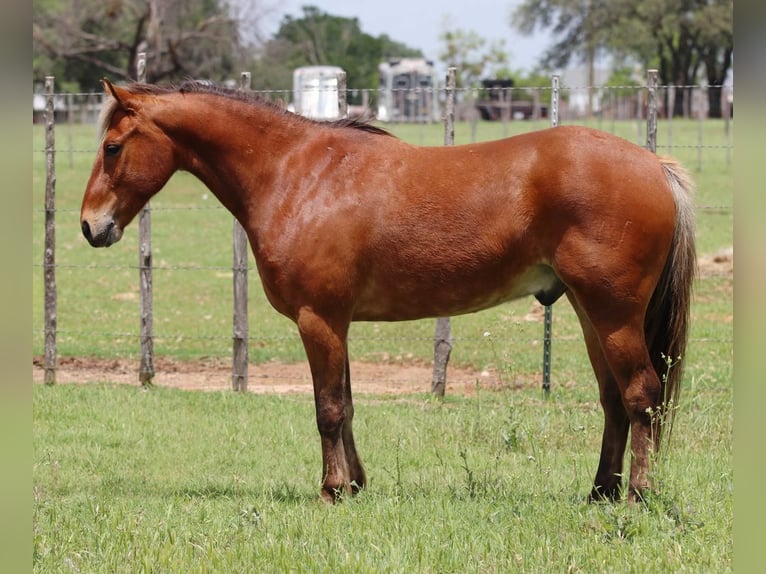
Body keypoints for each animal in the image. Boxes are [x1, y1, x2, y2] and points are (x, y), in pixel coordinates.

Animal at [80, 79, 696, 503]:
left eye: (112, 147)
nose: (90, 226)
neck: (296, 173)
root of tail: (654, 165)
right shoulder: (338, 321)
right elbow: (348, 404)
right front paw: (355, 485)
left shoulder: (318, 318)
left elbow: (328, 408)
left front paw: (331, 491)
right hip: (593, 314)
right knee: (614, 401)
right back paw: (600, 493)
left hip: (613, 314)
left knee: (641, 394)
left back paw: (636, 496)